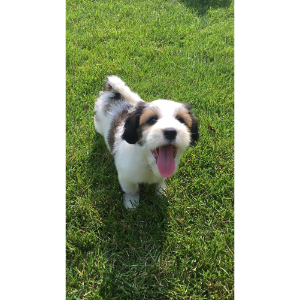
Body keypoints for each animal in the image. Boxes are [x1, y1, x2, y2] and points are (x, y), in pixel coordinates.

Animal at [92, 75, 198, 209]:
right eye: (152, 120)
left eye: (181, 120)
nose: (170, 132)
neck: (147, 161)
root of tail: (112, 92)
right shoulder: (126, 176)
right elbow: (131, 190)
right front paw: (131, 203)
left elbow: (160, 181)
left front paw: (161, 191)